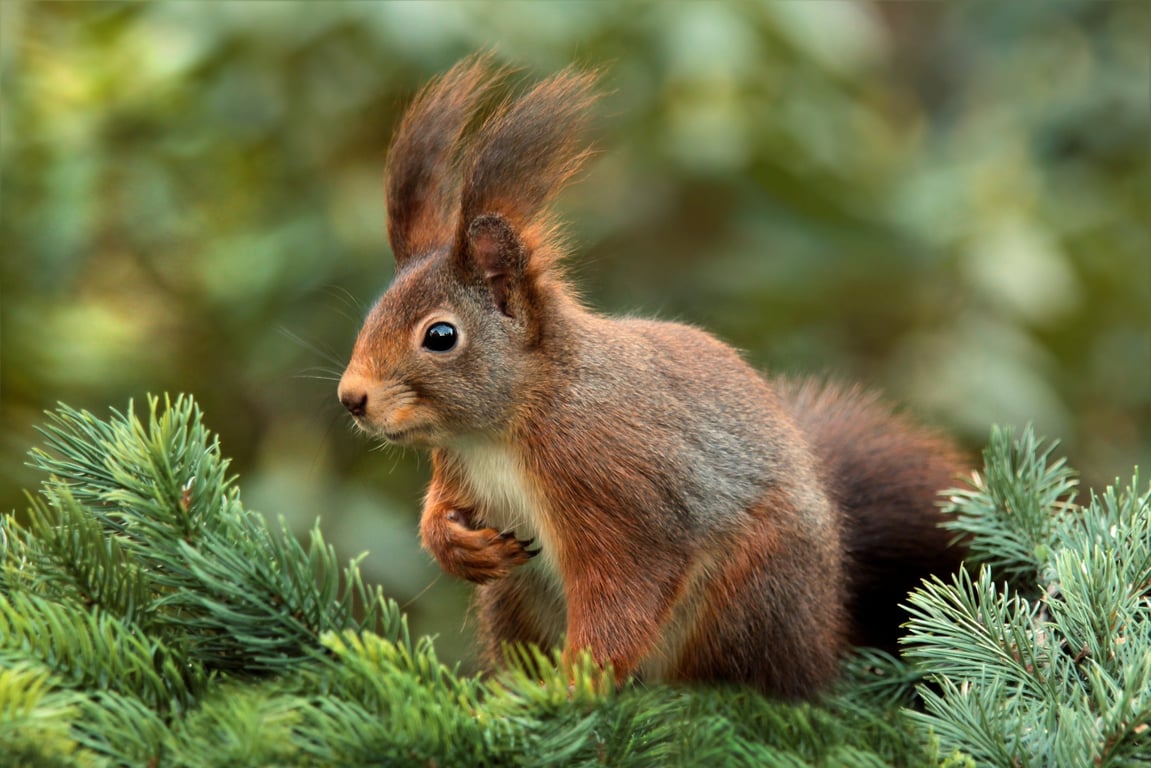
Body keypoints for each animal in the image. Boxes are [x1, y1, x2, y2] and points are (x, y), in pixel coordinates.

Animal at [337, 57, 968, 700]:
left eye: (441, 336)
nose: (351, 398)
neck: (504, 428)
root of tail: (825, 630)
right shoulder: (458, 468)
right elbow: (439, 511)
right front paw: (456, 545)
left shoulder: (614, 485)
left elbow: (625, 591)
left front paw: (574, 688)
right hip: (515, 598)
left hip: (750, 591)